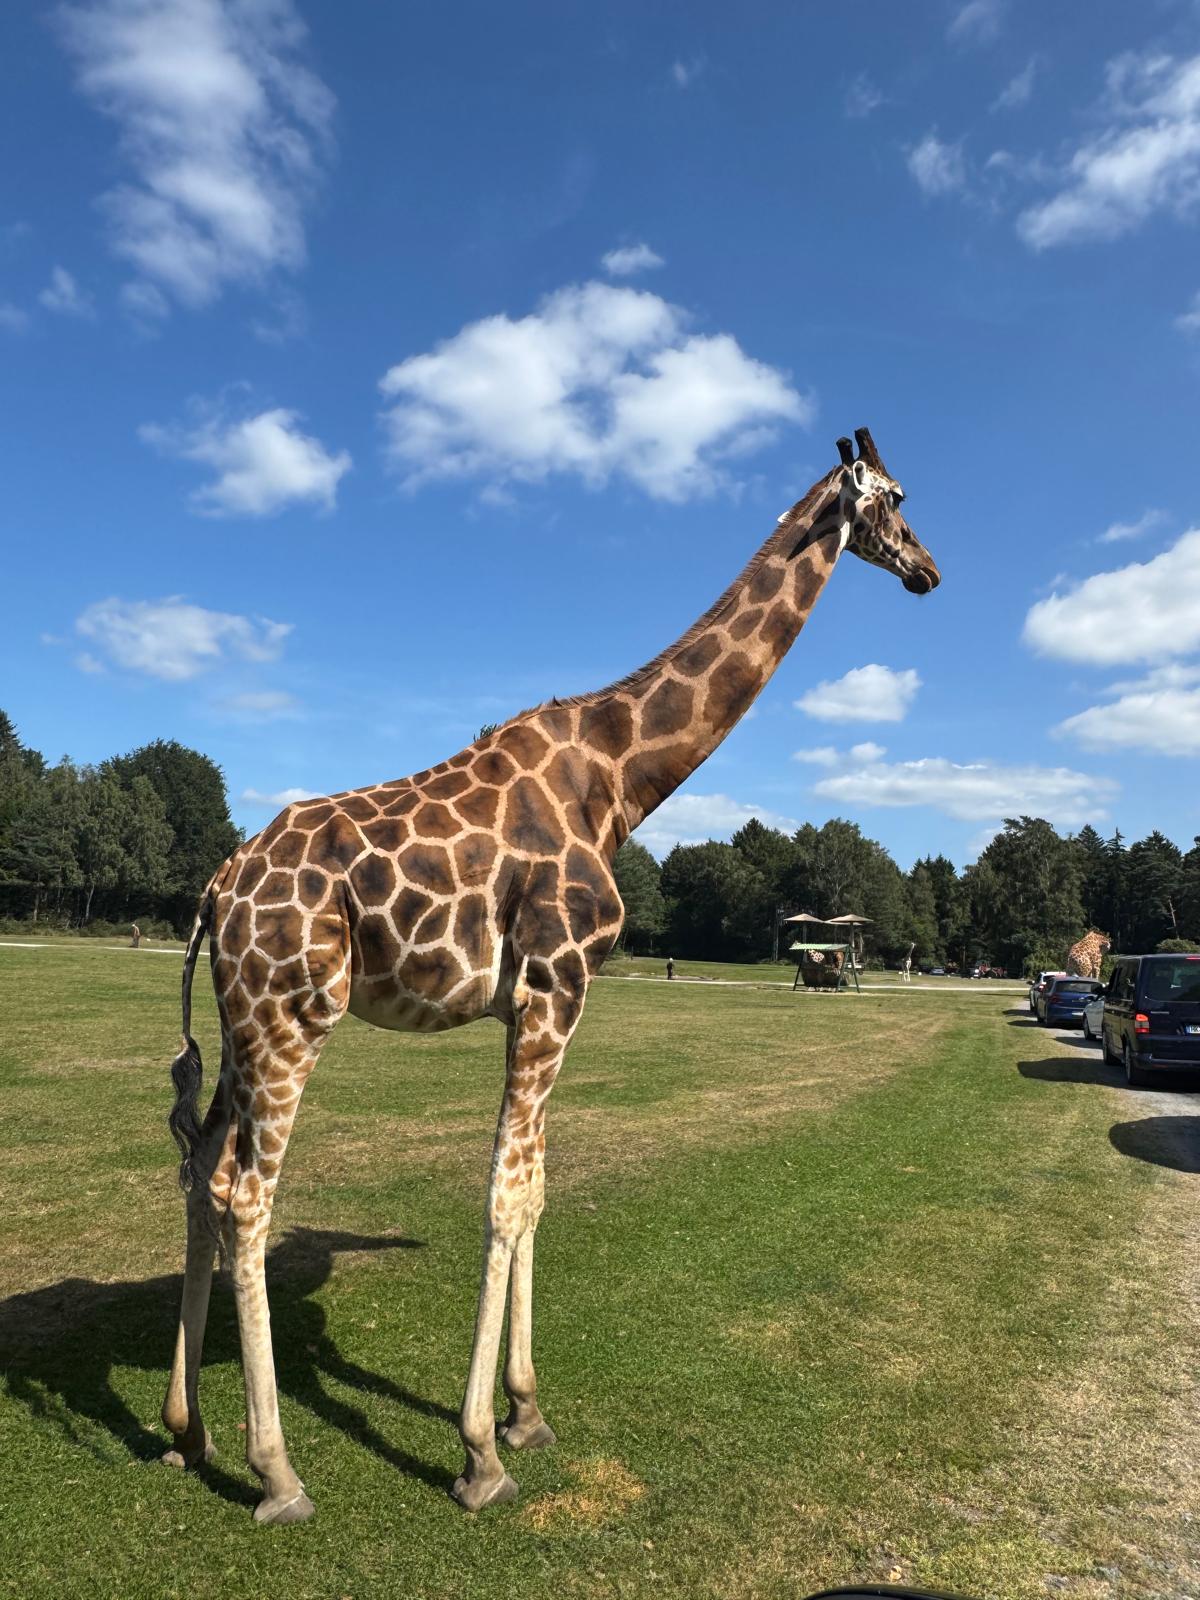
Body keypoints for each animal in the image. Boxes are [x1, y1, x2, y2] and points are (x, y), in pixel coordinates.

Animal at [162, 427, 940, 1524]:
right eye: (897, 498)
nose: (929, 570)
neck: (619, 777)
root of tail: (217, 887)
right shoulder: (554, 985)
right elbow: (505, 1192)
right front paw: (481, 1452)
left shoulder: (548, 998)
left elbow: (534, 1186)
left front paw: (526, 1410)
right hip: (292, 1015)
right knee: (243, 1192)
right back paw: (276, 1472)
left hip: (243, 1022)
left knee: (198, 1166)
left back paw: (183, 1430)